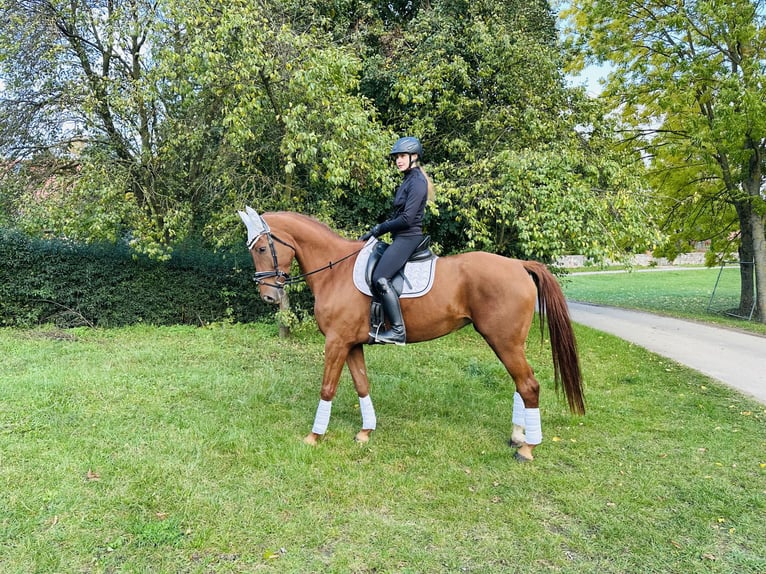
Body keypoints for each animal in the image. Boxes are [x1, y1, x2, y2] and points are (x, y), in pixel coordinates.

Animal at [238, 208, 584, 461]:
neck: (334, 271)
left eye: (261, 248)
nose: (268, 297)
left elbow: (327, 388)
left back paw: (527, 448)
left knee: (529, 385)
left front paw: (314, 436)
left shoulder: (336, 342)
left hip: (504, 341)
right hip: (507, 343)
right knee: (521, 384)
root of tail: (518, 265)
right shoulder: (351, 344)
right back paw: (517, 437)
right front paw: (365, 432)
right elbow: (362, 384)